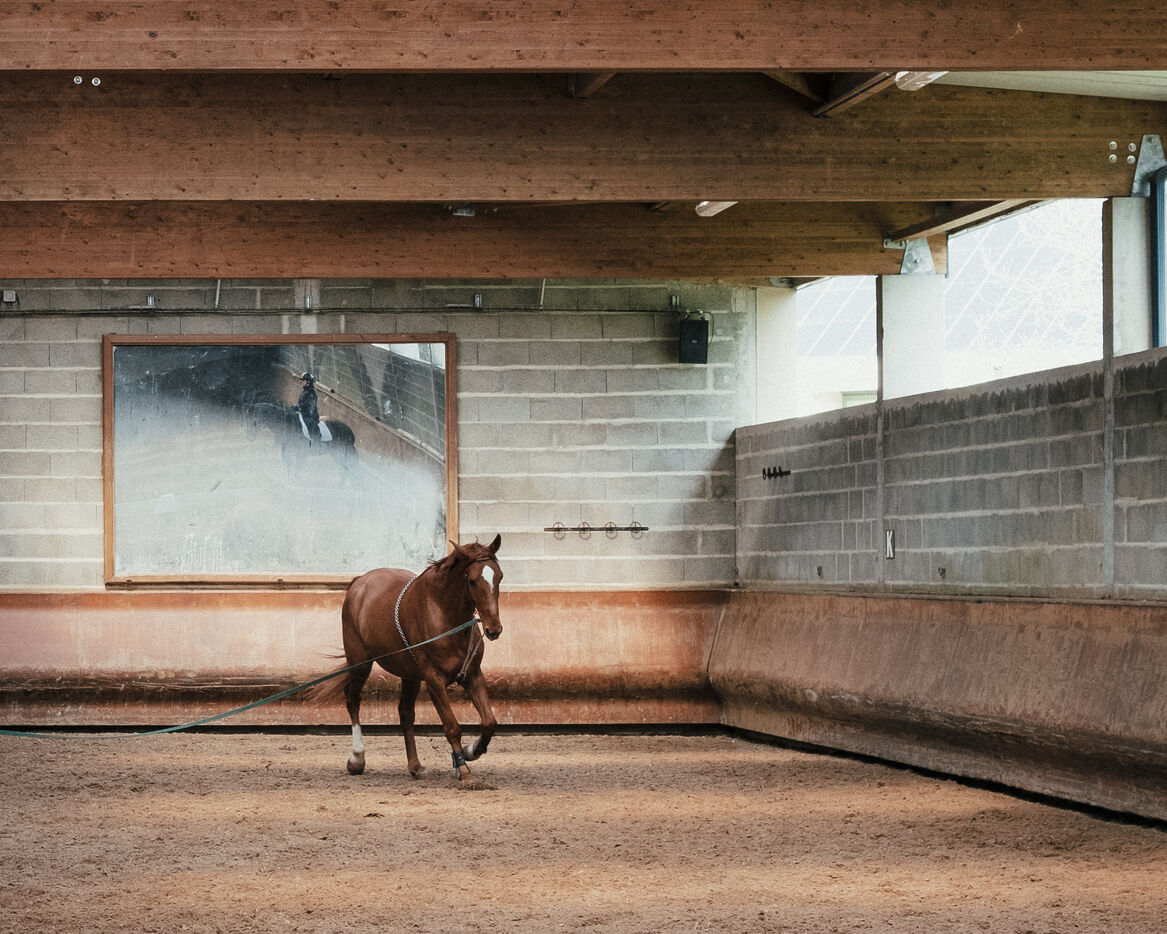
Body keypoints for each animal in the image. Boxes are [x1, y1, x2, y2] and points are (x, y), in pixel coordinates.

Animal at [313, 535, 504, 782]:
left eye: (499, 576)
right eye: (471, 580)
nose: (494, 630)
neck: (445, 615)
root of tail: (359, 582)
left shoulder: (472, 674)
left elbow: (489, 722)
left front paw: (471, 752)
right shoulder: (434, 680)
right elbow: (452, 726)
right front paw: (463, 769)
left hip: (409, 676)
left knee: (405, 713)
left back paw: (415, 766)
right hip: (360, 663)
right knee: (352, 699)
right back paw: (357, 759)